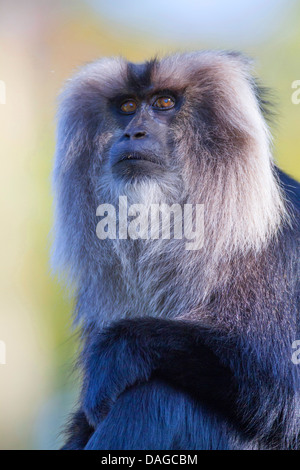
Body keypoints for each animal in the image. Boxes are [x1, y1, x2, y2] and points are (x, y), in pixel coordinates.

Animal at [52, 51, 300, 452]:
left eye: (165, 102)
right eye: (127, 106)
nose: (133, 133)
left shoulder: (280, 255)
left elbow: (287, 399)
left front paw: (116, 353)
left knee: (155, 397)